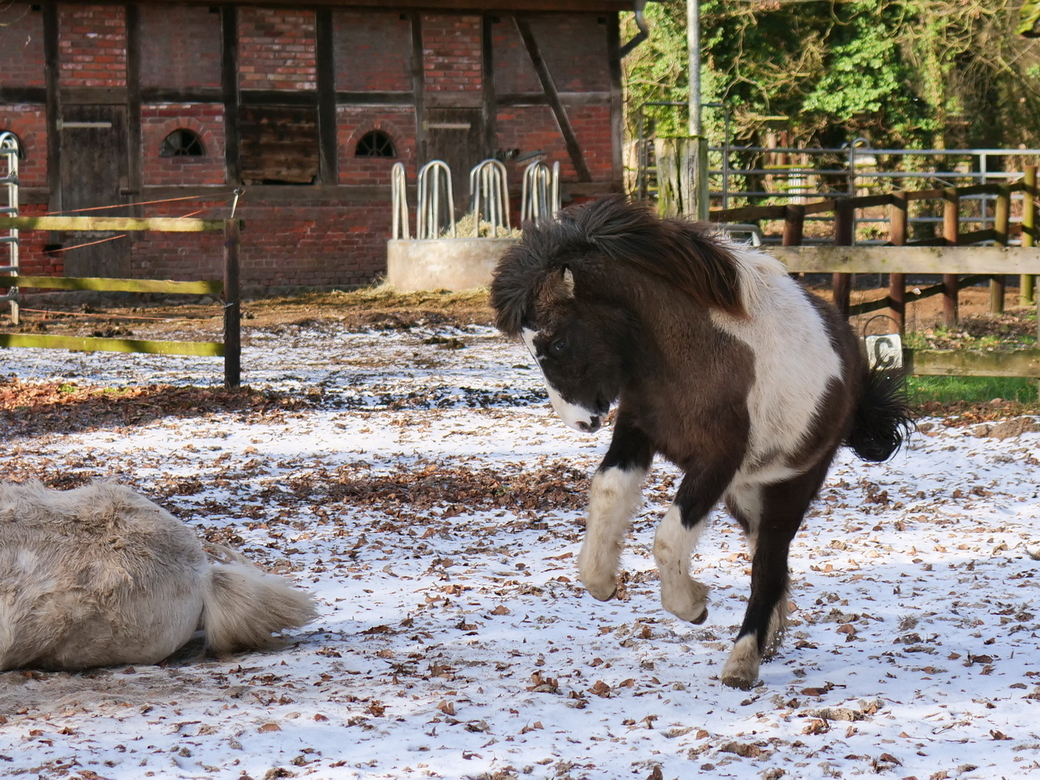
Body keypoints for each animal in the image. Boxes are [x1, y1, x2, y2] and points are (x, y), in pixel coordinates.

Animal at [490, 198, 906, 694]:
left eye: (557, 342)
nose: (580, 421)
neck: (688, 355)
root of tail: (852, 359)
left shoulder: (717, 460)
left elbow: (669, 538)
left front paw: (692, 604)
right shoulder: (636, 432)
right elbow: (608, 491)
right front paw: (601, 580)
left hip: (791, 487)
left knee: (767, 567)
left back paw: (743, 660)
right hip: (746, 495)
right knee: (771, 563)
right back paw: (768, 639)